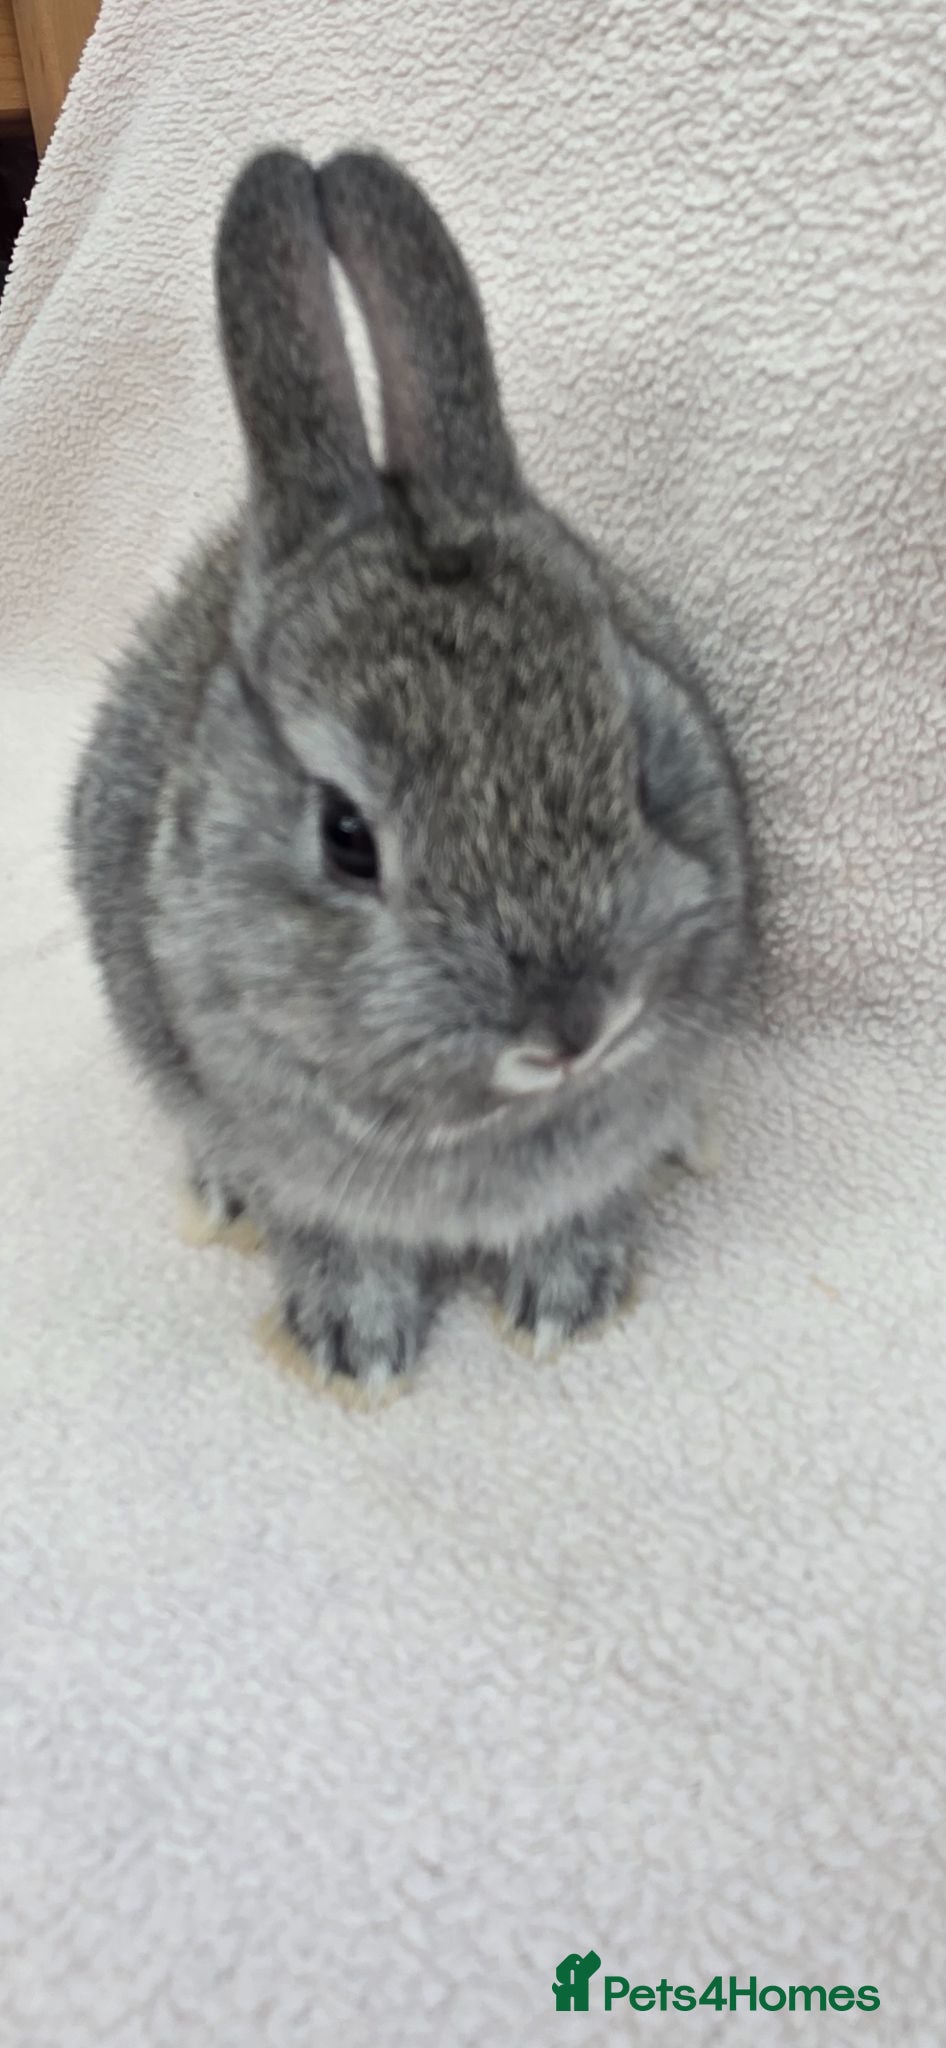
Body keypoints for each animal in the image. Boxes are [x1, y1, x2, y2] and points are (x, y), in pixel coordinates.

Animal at [69, 147, 753, 1401]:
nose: (572, 1025)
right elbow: (333, 1237)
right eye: (347, 838)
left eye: (634, 762)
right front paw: (358, 1345)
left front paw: (563, 1297)